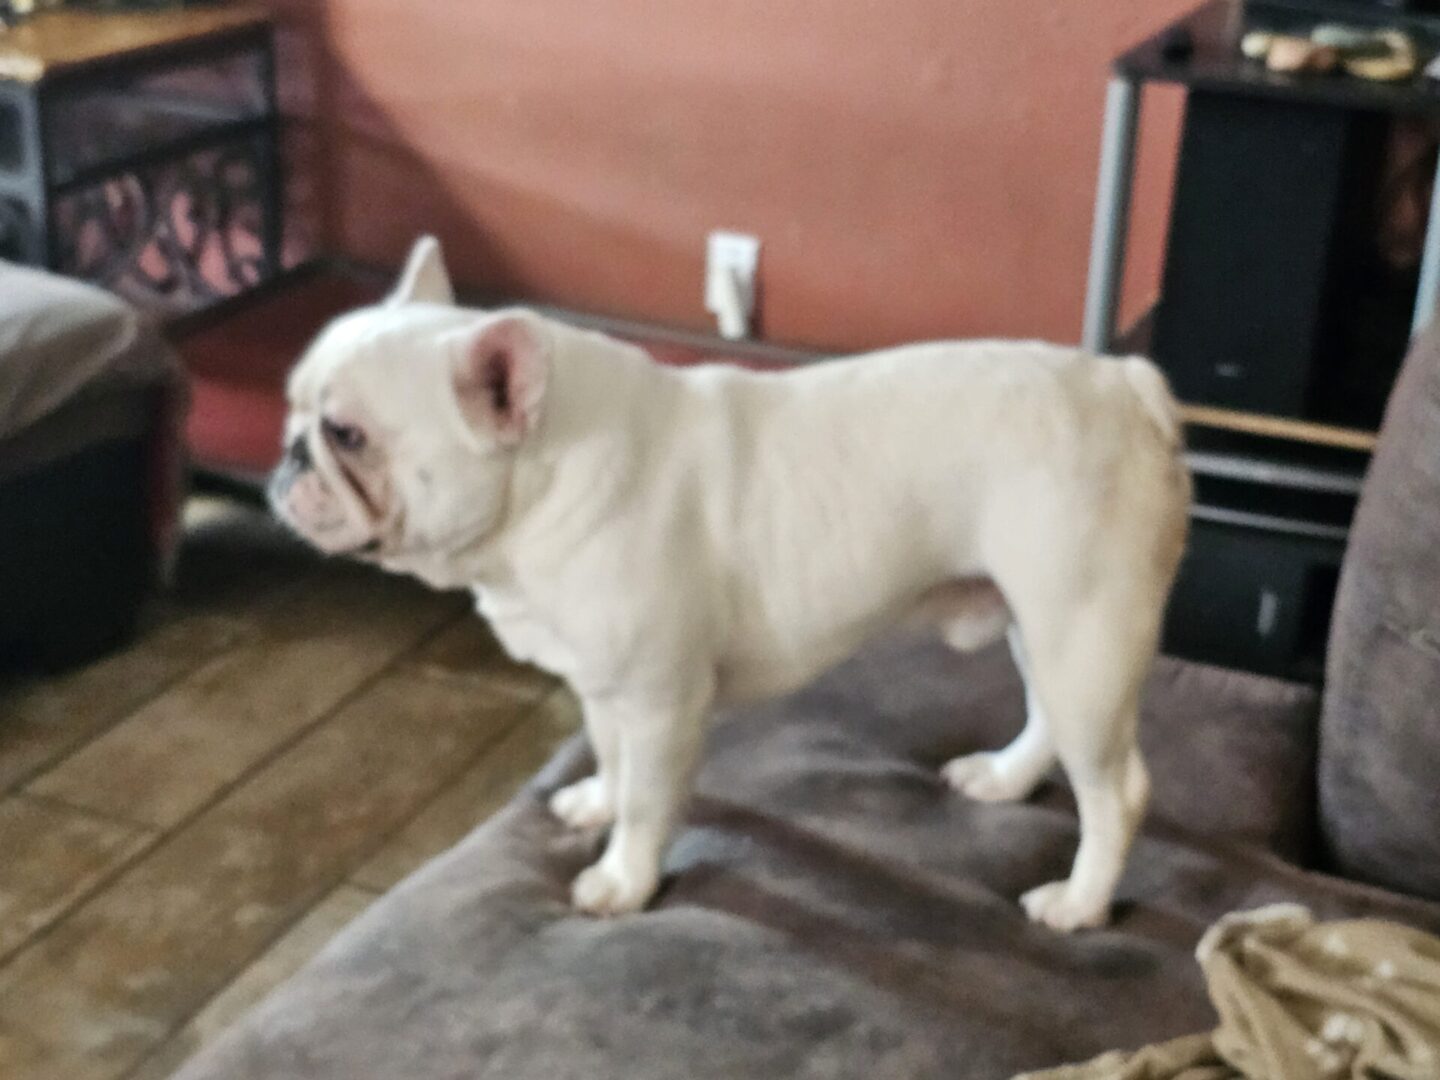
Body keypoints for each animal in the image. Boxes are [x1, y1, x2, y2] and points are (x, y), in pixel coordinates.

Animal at [272, 236, 1192, 933]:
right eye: (295, 409)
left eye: (347, 435)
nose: (288, 457)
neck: (540, 477)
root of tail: (1124, 385)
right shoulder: (604, 686)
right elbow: (612, 760)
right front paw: (596, 802)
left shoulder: (660, 700)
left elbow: (649, 801)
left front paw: (623, 883)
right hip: (1039, 627)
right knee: (1046, 723)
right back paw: (1003, 779)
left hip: (1084, 634)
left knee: (1117, 790)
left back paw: (1080, 904)